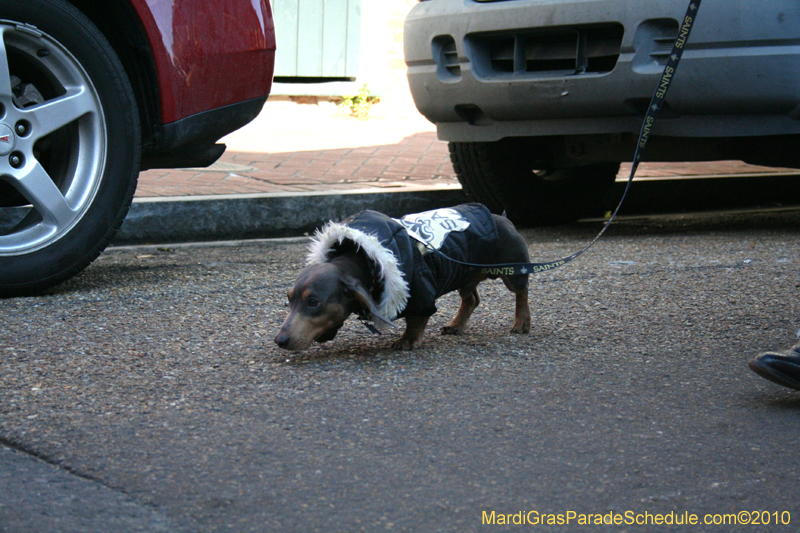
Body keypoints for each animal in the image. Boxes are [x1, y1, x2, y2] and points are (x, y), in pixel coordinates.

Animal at [276, 203, 532, 350]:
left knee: (521, 292)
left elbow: (416, 319)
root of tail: (503, 218)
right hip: (464, 272)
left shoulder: (419, 293)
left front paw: (408, 340)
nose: (279, 341)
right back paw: (456, 325)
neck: (364, 258)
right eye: (289, 300)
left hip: (512, 270)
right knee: (472, 300)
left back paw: (521, 322)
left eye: (313, 302)